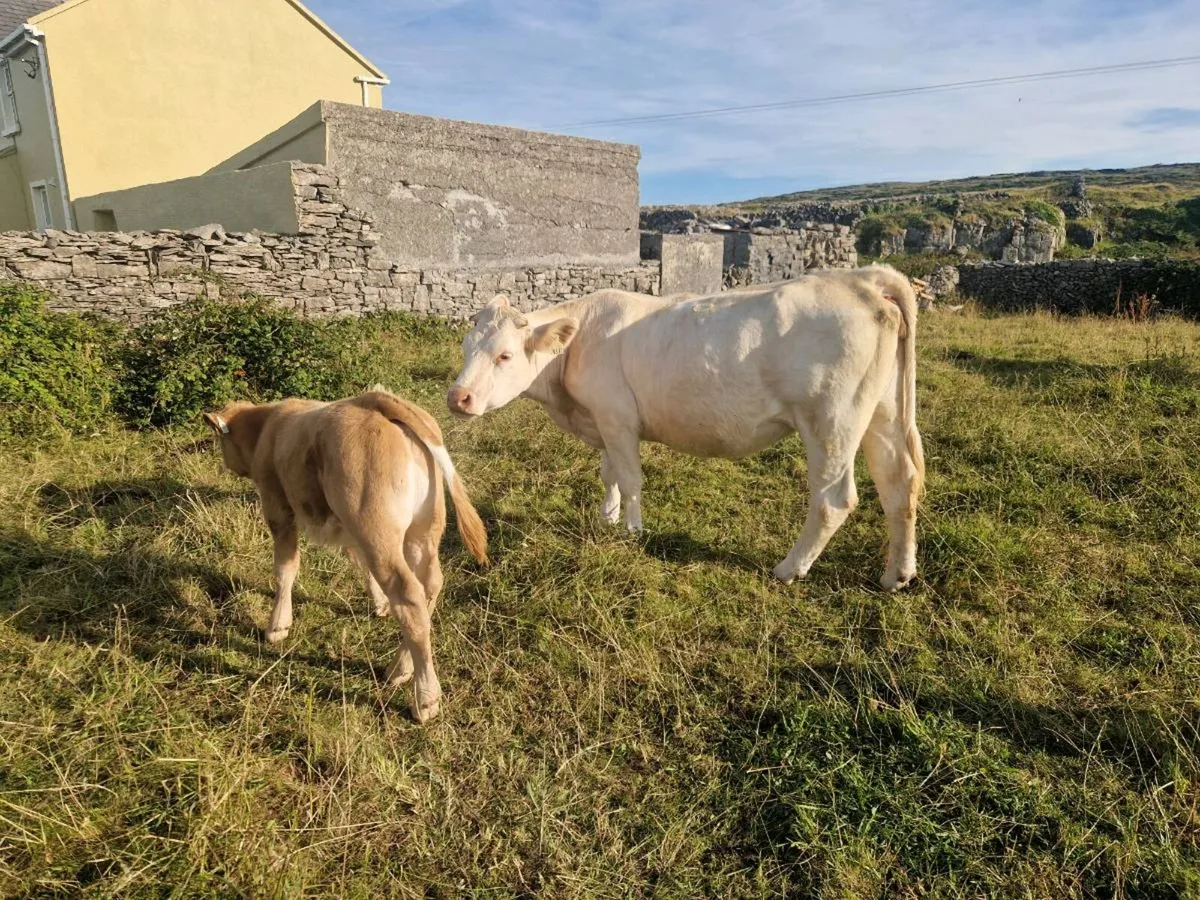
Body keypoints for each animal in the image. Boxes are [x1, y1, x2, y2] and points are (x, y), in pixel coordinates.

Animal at [203, 388, 488, 723]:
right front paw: (379, 604)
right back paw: (400, 668)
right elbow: (358, 562)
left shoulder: (277, 507)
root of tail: (374, 399)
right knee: (429, 586)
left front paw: (277, 626)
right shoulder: (347, 526)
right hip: (421, 530)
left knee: (409, 595)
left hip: (377, 528)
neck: (268, 427)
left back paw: (425, 698)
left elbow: (286, 568)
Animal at [447, 265, 924, 590]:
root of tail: (862, 279)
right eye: (467, 346)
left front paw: (632, 532)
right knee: (899, 484)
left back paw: (790, 568)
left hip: (831, 420)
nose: (458, 397)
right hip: (880, 412)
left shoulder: (618, 417)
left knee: (833, 500)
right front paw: (607, 517)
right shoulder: (603, 419)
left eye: (505, 355)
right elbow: (609, 474)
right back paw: (897, 574)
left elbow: (631, 478)